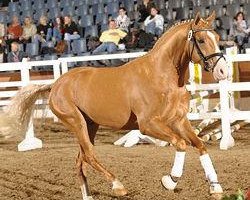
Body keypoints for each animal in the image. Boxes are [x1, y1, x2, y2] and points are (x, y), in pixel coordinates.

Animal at [1, 12, 229, 200]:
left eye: (217, 39)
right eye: (201, 40)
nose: (223, 71)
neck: (163, 77)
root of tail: (56, 83)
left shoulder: (179, 121)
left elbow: (200, 145)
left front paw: (215, 188)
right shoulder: (148, 125)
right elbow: (181, 144)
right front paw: (169, 181)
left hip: (90, 125)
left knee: (80, 160)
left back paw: (90, 196)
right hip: (76, 123)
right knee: (89, 155)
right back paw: (118, 186)